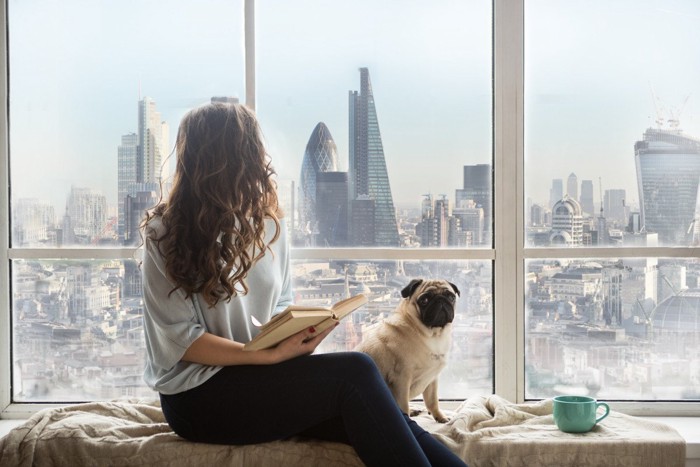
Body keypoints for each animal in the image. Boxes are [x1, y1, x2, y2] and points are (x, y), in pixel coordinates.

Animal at [356, 282, 460, 424]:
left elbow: (432, 401)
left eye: (450, 297)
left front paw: (440, 417)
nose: (441, 300)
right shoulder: (401, 380)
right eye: (424, 300)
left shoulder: (432, 379)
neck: (431, 335)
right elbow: (403, 405)